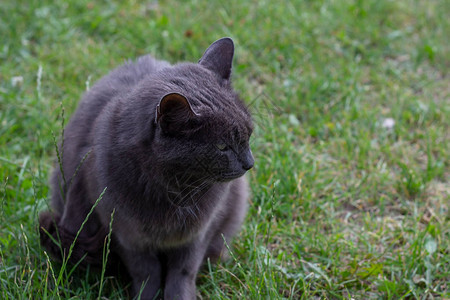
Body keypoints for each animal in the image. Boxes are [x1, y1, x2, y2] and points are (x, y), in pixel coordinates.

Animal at [38, 38, 253, 300]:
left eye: (248, 134)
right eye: (222, 146)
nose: (249, 163)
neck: (175, 190)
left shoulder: (199, 233)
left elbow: (183, 271)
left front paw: (179, 296)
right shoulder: (126, 234)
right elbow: (146, 272)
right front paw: (145, 296)